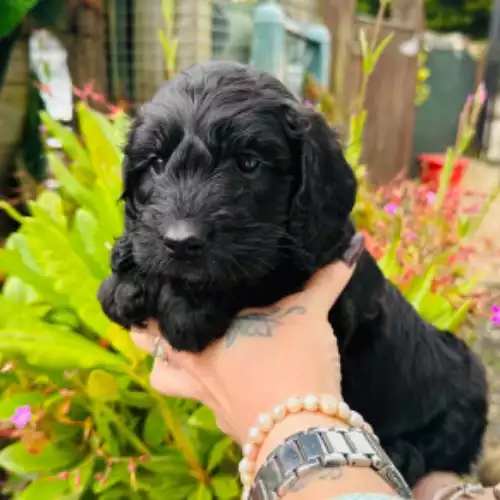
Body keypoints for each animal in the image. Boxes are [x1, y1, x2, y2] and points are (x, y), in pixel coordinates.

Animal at [98, 60, 488, 486]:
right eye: (156, 163)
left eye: (248, 162)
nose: (181, 242)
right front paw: (127, 274)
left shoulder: (316, 269)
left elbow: (259, 271)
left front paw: (185, 307)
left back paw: (404, 452)